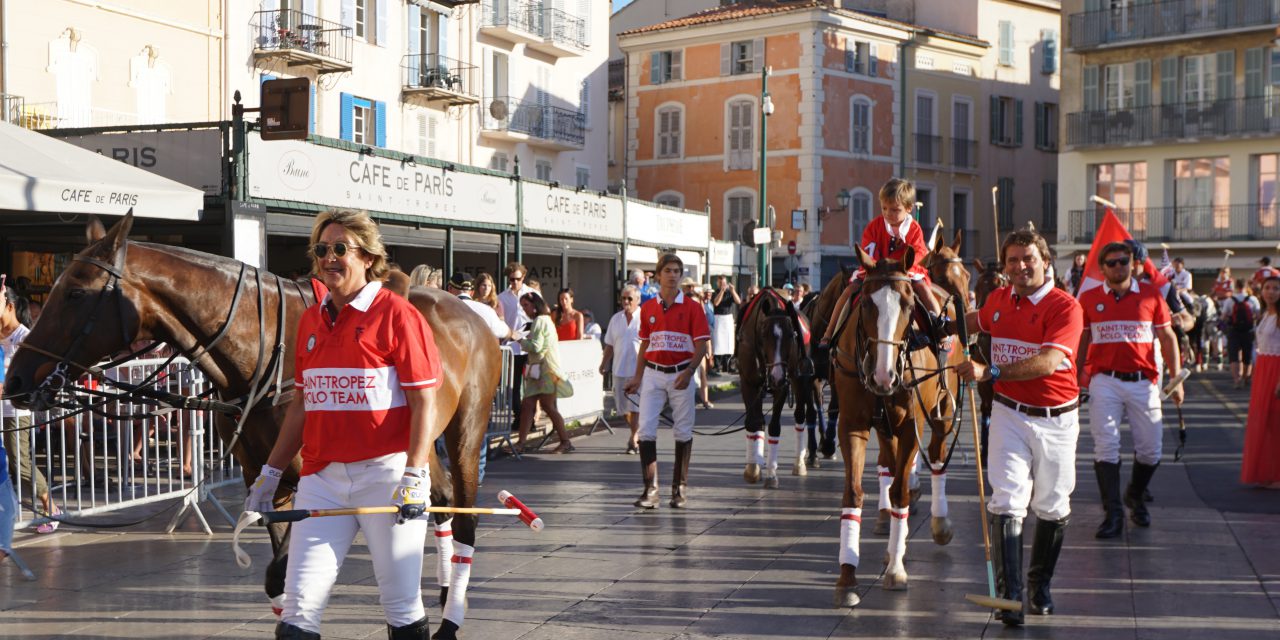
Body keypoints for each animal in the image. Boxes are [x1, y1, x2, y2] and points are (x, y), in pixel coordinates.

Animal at [7, 215, 501, 640]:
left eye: (75, 293)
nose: (14, 381)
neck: (262, 356)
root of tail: (471, 314)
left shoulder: (303, 485)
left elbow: (282, 573)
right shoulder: (266, 479)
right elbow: (279, 585)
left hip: (465, 434)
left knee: (465, 520)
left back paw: (451, 617)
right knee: (439, 498)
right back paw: (440, 590)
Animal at [737, 288, 814, 486]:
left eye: (791, 335)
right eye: (764, 335)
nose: (777, 376)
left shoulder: (782, 385)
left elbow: (774, 427)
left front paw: (771, 472)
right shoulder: (748, 382)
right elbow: (754, 422)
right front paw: (752, 468)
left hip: (800, 379)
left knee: (800, 416)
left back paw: (799, 464)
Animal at [824, 243, 957, 604]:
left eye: (909, 305)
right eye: (866, 303)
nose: (884, 376)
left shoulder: (912, 426)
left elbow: (900, 492)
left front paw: (896, 570)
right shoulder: (851, 426)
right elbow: (853, 494)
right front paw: (846, 576)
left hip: (942, 412)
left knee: (937, 456)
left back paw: (939, 523)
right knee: (889, 461)